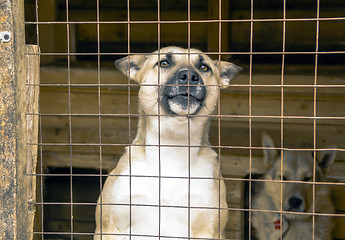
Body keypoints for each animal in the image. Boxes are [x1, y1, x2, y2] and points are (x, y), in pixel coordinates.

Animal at [92, 46, 241, 239]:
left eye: (204, 67)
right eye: (164, 63)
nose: (189, 76)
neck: (172, 143)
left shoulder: (208, 229)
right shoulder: (110, 227)